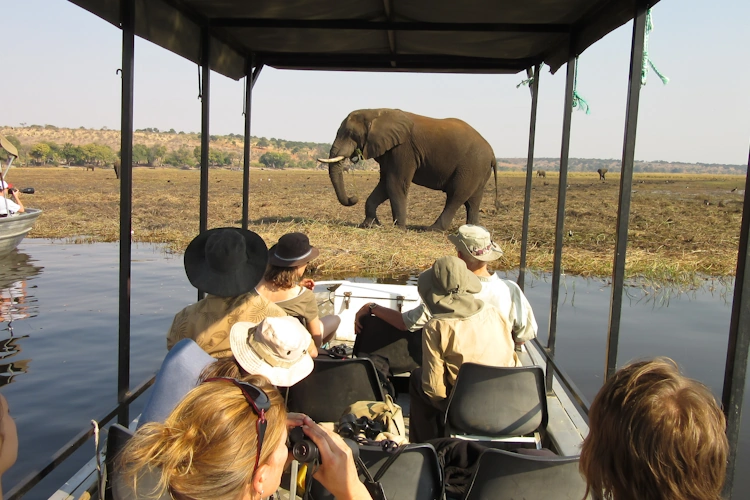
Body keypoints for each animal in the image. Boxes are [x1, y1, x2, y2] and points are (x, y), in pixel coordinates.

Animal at [318, 109, 500, 230]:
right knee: (473, 199)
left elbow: (394, 184)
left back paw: (433, 229)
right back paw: (474, 230)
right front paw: (368, 225)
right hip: (479, 169)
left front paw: (398, 229)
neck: (377, 112)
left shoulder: (404, 149)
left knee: (456, 195)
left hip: (471, 166)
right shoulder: (389, 151)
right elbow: (384, 185)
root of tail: (492, 154)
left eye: (350, 133)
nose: (353, 197)